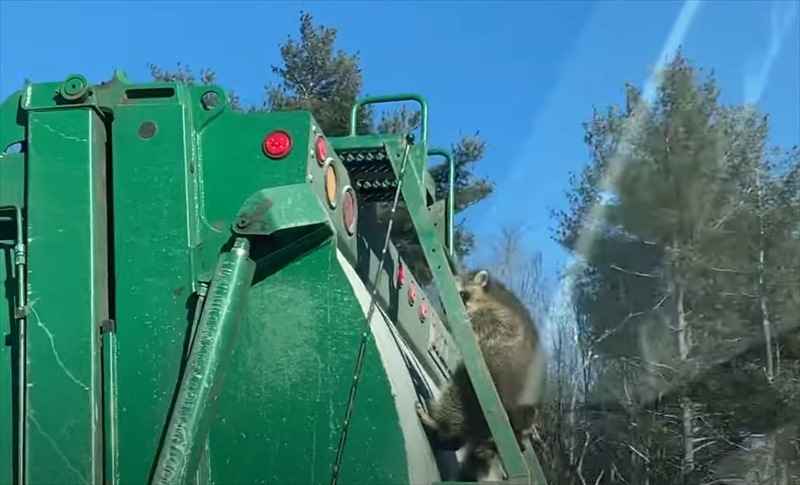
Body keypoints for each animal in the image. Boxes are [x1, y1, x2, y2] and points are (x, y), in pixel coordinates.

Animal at [416, 268, 548, 480]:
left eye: (462, 294)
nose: (444, 305)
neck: (490, 293)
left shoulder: (499, 319)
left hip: (483, 389)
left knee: (458, 393)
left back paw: (441, 425)